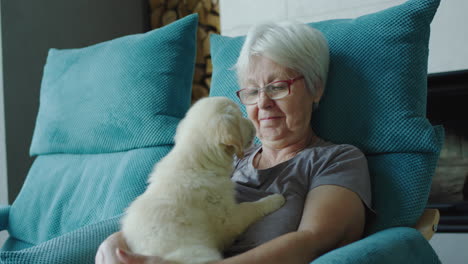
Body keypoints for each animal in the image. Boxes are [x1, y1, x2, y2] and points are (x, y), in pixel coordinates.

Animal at [120, 97, 286, 264]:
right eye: (239, 117)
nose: (253, 122)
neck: (198, 163)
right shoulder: (228, 219)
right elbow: (249, 208)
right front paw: (274, 199)